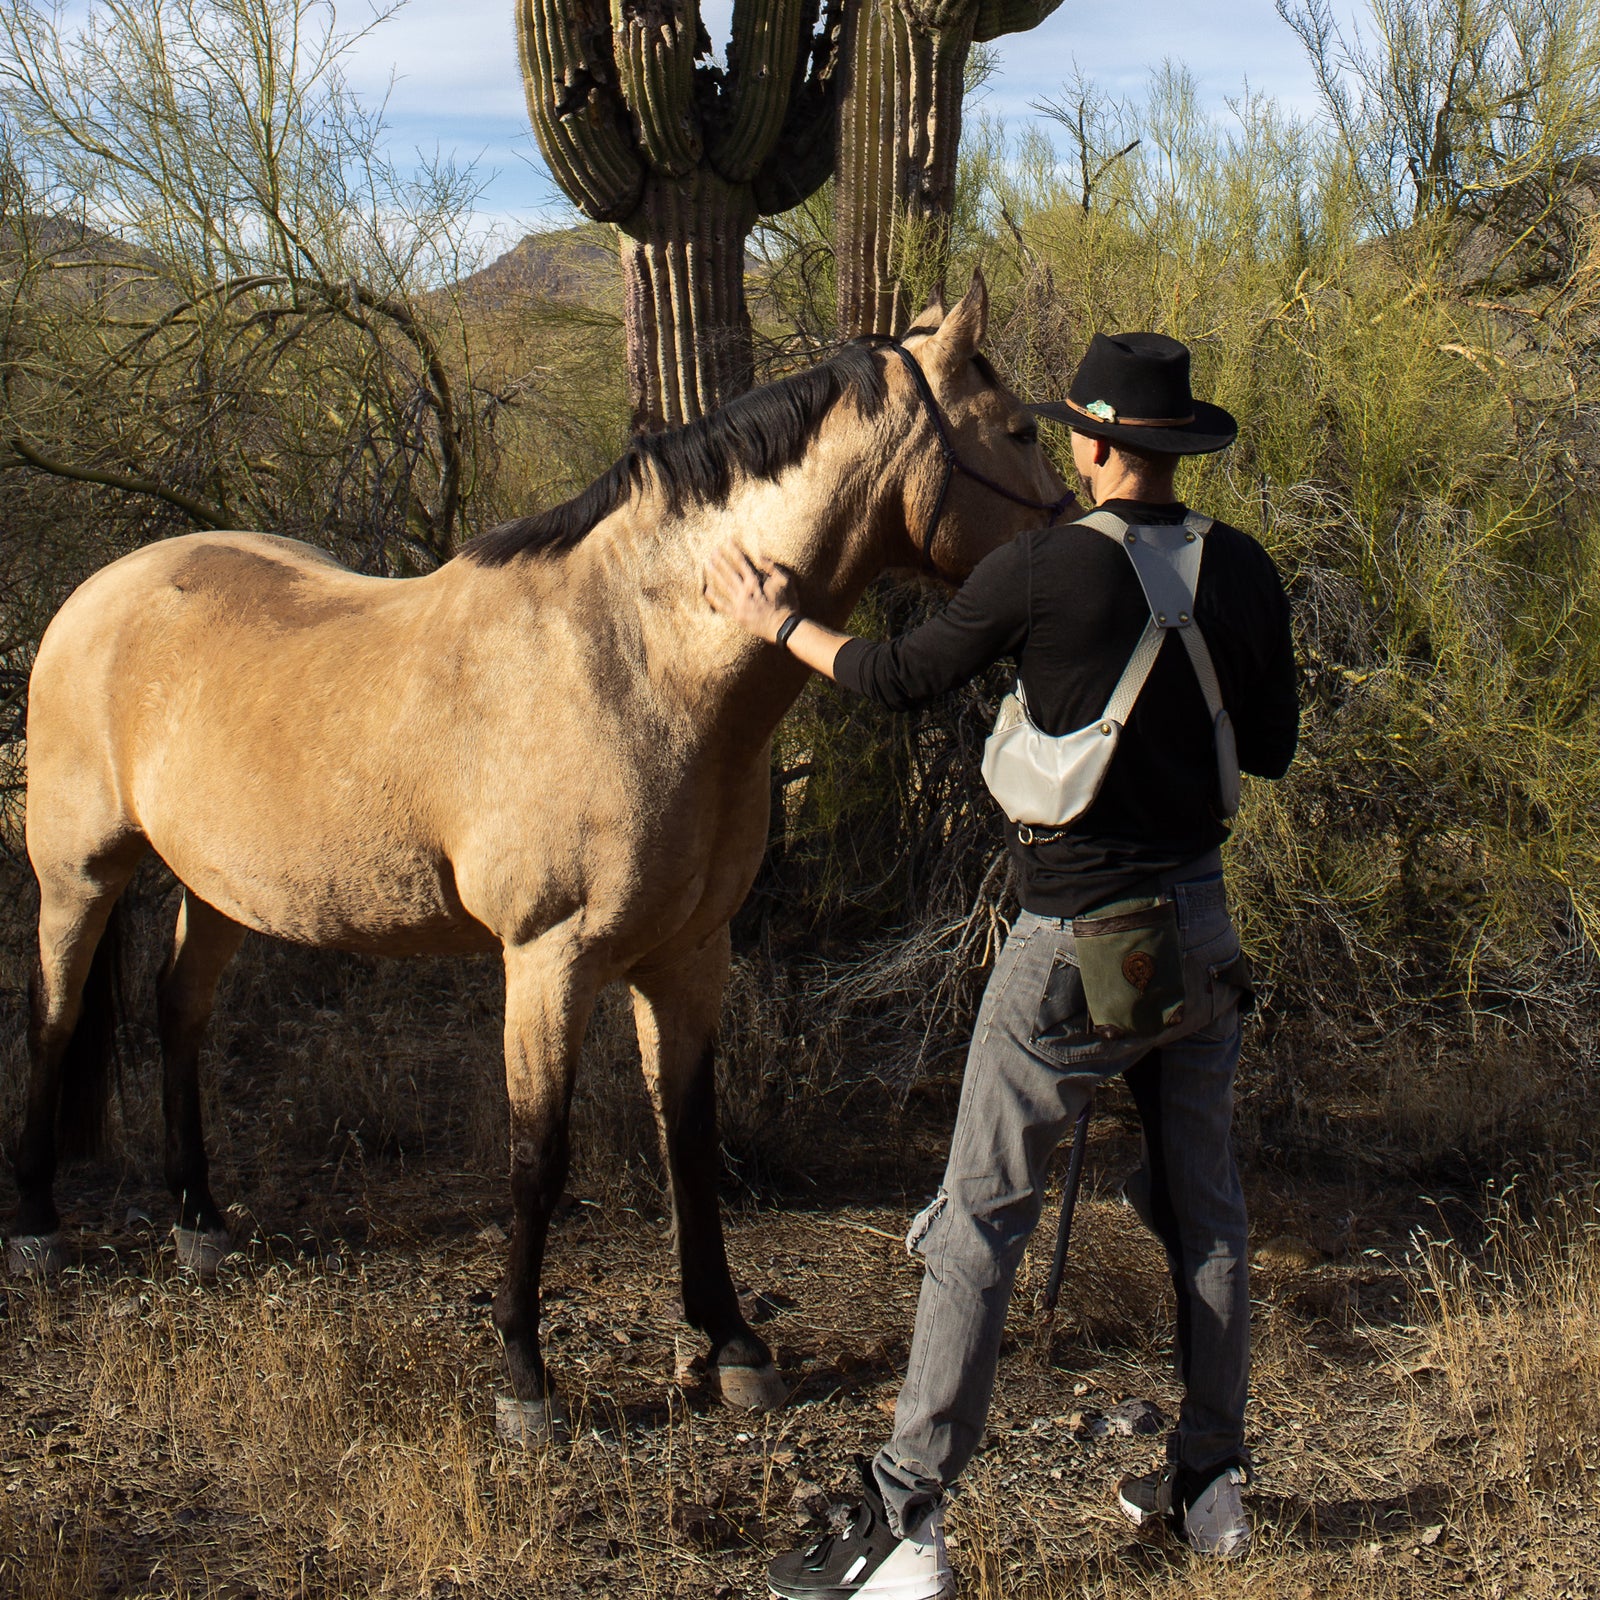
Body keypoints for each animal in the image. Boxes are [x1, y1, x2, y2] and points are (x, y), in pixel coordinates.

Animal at [9, 274, 1071, 1438]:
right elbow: (537, 1154)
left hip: (223, 888)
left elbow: (688, 1137)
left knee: (178, 1013)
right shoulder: (547, 959)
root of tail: (99, 591)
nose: (1084, 542)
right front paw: (524, 1371)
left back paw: (200, 1219)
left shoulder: (689, 955)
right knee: (55, 1015)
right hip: (79, 872)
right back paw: (38, 1224)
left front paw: (731, 1341)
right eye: (1019, 430)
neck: (642, 660)